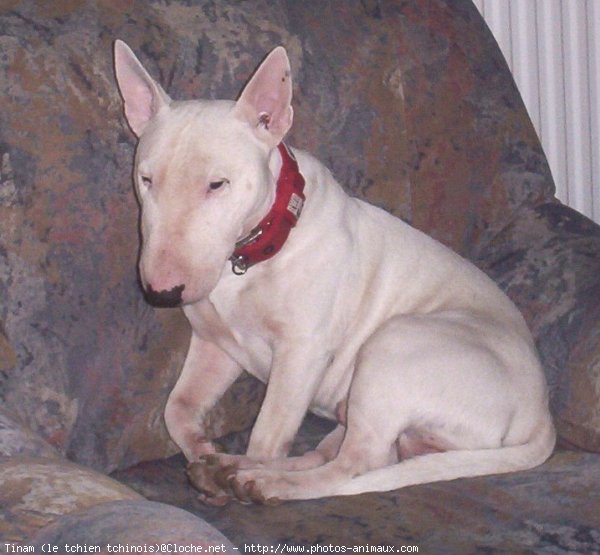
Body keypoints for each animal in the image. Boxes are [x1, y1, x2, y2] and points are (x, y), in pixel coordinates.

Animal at [115, 41, 556, 506]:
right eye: (146, 179)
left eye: (217, 184)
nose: (162, 292)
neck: (253, 254)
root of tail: (541, 415)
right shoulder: (215, 346)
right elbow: (177, 408)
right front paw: (202, 447)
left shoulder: (302, 352)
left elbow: (268, 434)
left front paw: (244, 467)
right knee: (342, 454)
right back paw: (223, 468)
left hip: (394, 346)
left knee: (355, 464)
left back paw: (259, 481)